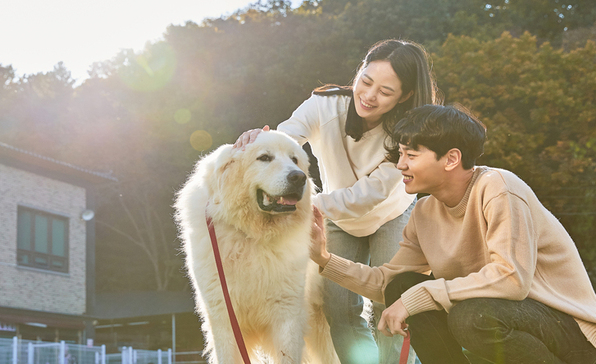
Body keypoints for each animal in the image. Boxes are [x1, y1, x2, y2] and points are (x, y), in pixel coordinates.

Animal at [175, 131, 338, 364]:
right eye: (264, 158)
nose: (299, 177)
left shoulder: (287, 312)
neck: (253, 235)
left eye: (294, 160)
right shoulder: (224, 315)